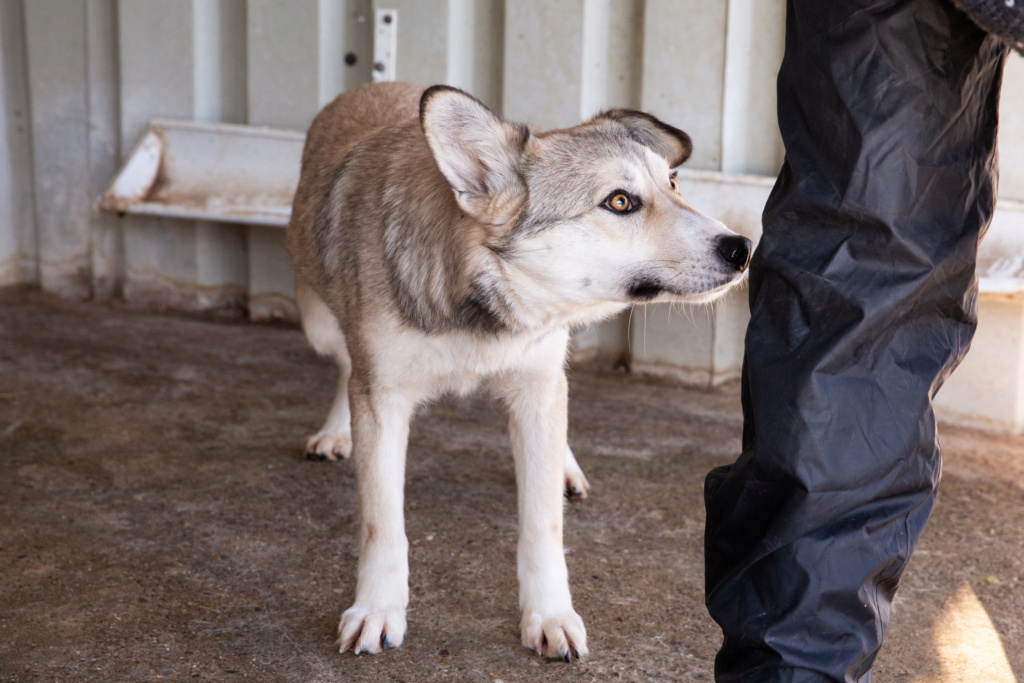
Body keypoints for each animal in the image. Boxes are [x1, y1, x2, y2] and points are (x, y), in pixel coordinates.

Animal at [288, 81, 753, 663]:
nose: (743, 248)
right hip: (318, 323)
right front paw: (377, 609)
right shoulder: (381, 397)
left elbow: (542, 524)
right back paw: (335, 429)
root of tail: (379, 83)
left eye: (672, 183)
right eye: (619, 202)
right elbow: (383, 525)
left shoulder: (536, 385)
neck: (475, 299)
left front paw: (549, 614)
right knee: (344, 363)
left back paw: (565, 466)